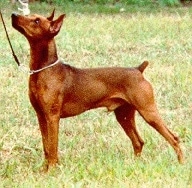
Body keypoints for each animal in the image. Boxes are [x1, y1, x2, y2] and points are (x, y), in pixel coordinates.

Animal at [11, 10, 184, 170]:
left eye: (37, 21)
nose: (13, 15)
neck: (42, 71)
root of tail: (138, 70)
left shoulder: (52, 118)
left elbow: (52, 148)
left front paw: (52, 170)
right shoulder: (41, 116)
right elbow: (46, 147)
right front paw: (44, 169)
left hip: (148, 112)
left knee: (174, 138)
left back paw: (181, 164)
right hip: (124, 116)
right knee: (138, 142)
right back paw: (135, 165)